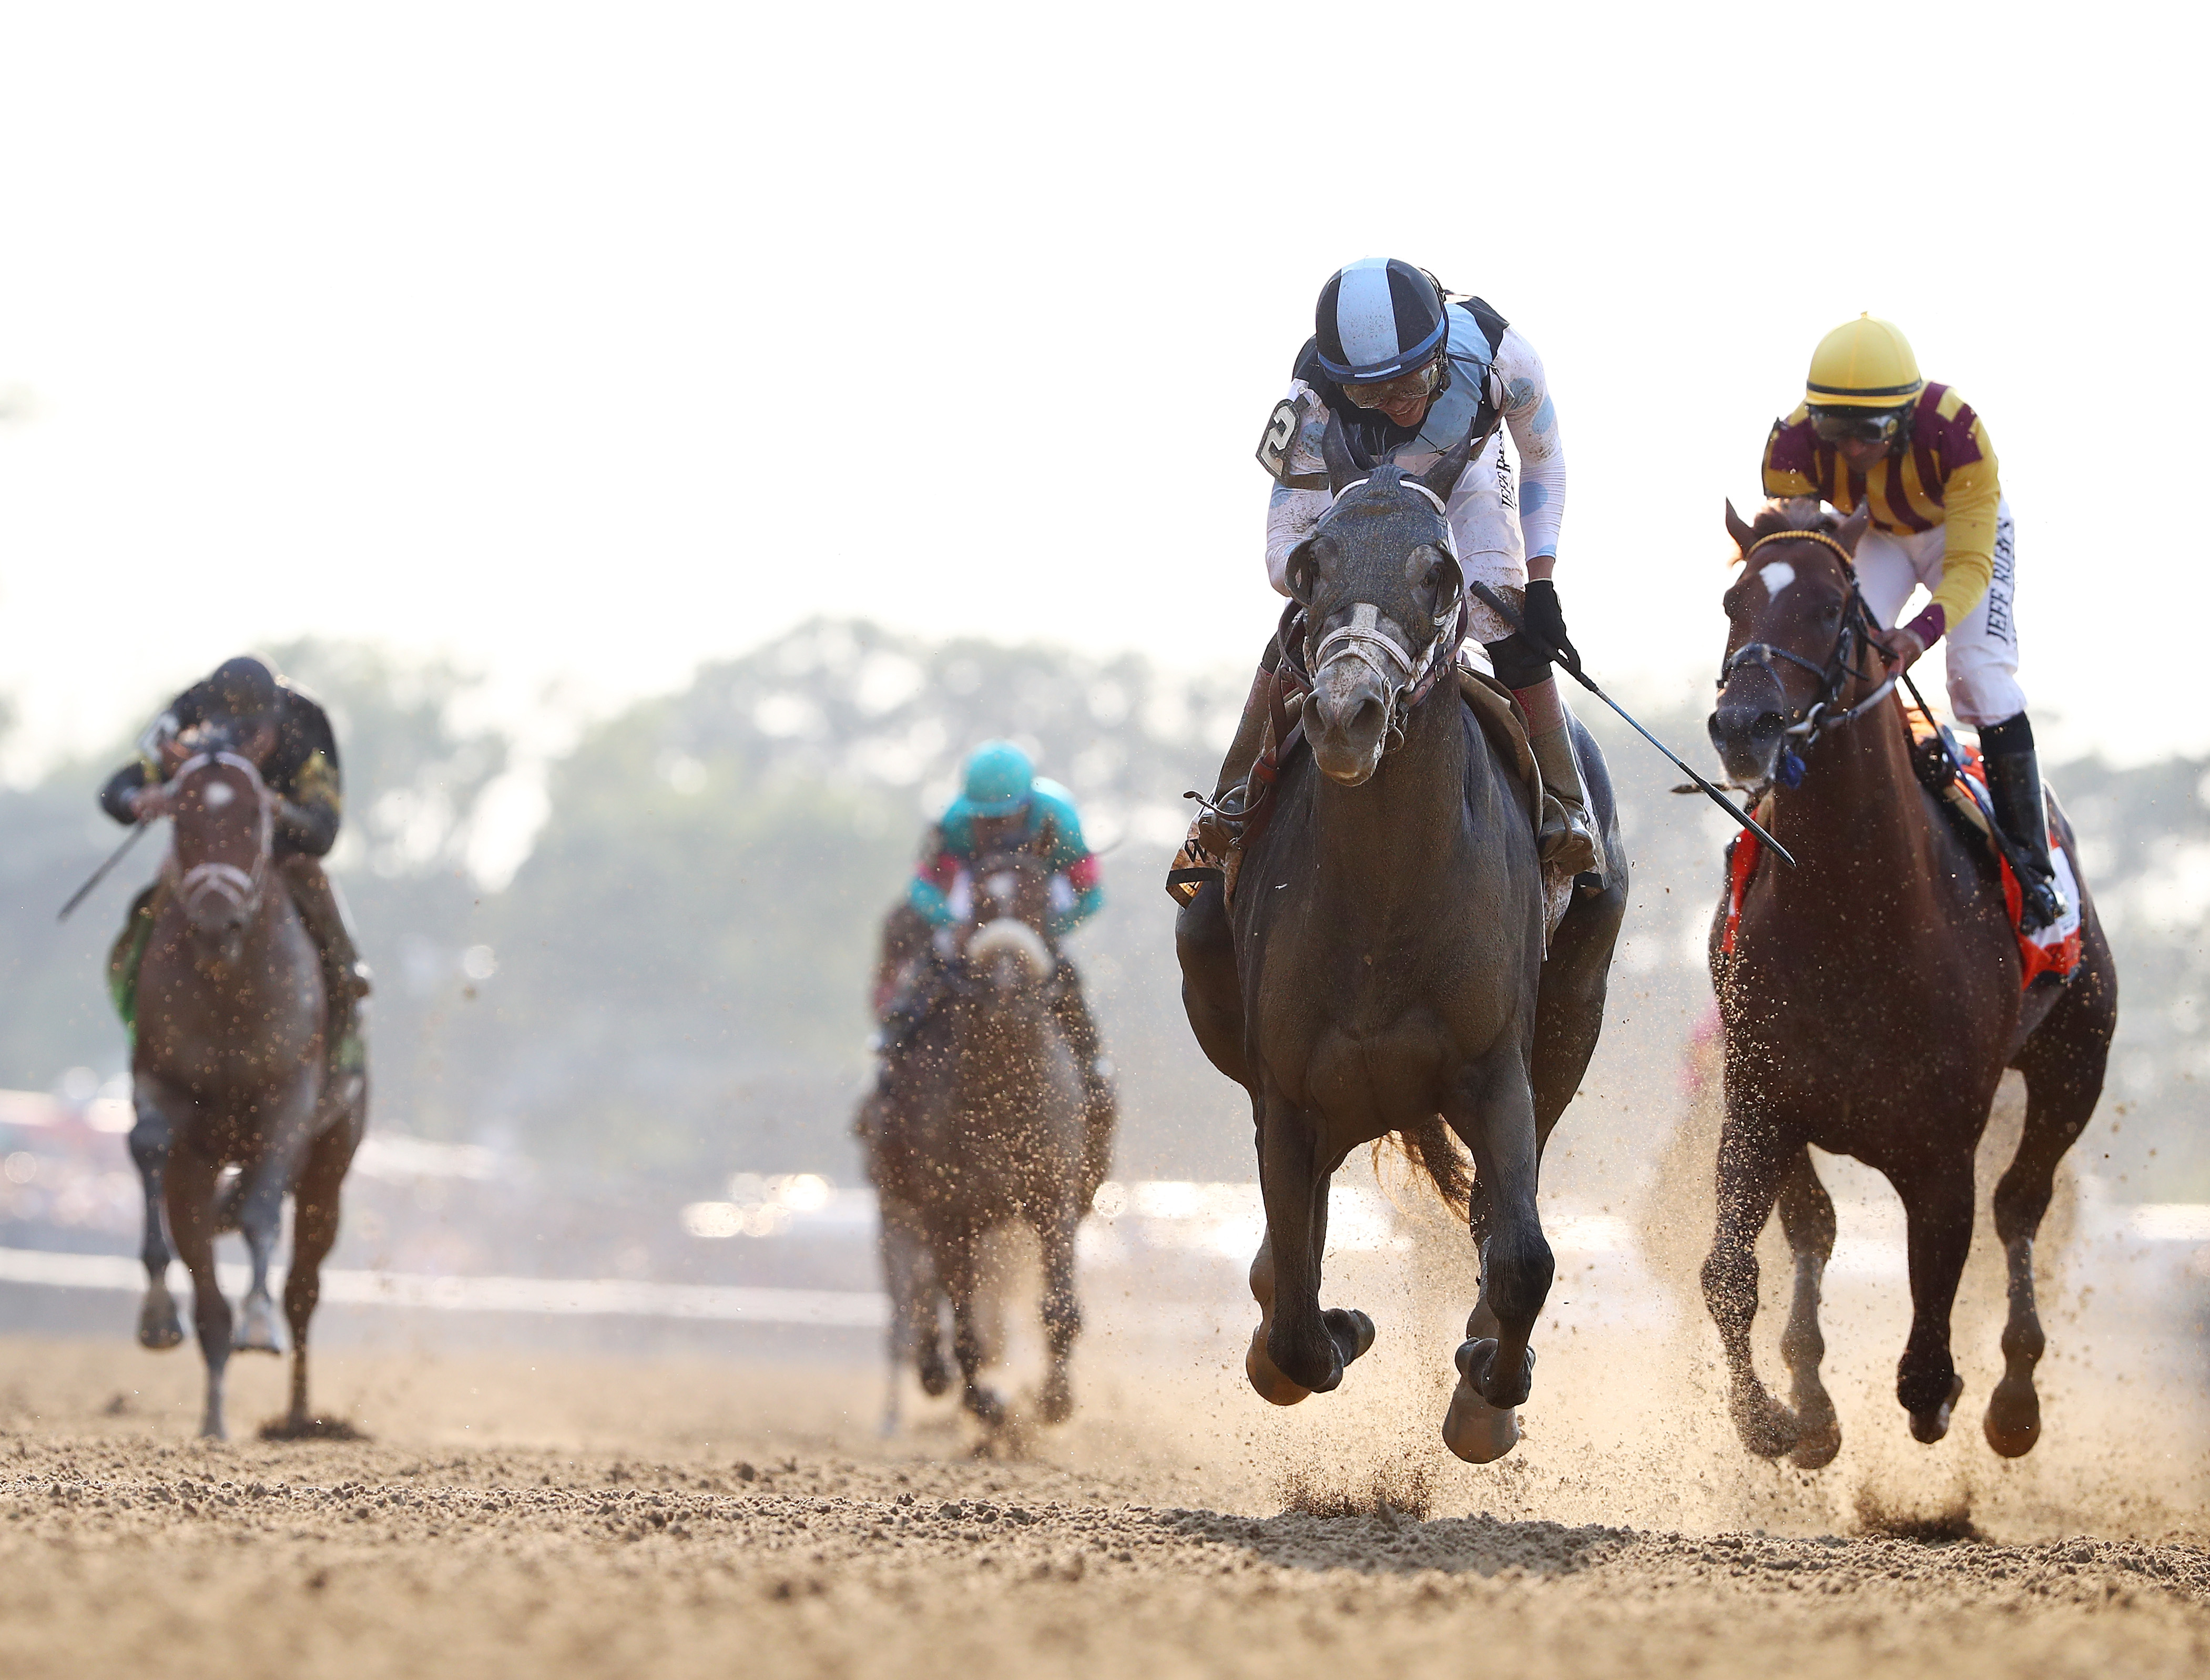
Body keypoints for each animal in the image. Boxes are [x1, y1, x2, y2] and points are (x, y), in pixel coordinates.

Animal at [127, 751, 364, 1441]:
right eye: (181, 822)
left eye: (254, 822)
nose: (214, 919)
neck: (227, 986)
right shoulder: (161, 1080)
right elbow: (148, 1143)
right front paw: (157, 1313)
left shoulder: (290, 1100)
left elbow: (262, 1209)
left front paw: (261, 1324)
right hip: (199, 1168)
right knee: (209, 1297)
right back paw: (213, 1420)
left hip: (330, 1166)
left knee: (303, 1288)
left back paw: (299, 1416)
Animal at [1175, 426, 1626, 1468]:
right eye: (1310, 565)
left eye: (1440, 572)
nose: (1346, 714)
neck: (1384, 912)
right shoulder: (1289, 1093)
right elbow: (1294, 1319)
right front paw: (1339, 1328)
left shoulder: (1494, 1068)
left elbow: (1521, 1254)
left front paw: (1488, 1391)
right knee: (1289, 1250)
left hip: (1571, 1020)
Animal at [1697, 500, 2113, 1459]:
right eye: (1733, 600)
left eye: (1827, 607)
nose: (1743, 724)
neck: (1853, 918)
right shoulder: (1760, 1100)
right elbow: (1729, 1270)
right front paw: (1770, 1417)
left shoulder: (1940, 1144)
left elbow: (1930, 1323)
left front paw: (1941, 1393)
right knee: (1816, 1227)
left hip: (2075, 1060)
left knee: (2020, 1205)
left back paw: (2013, 1400)